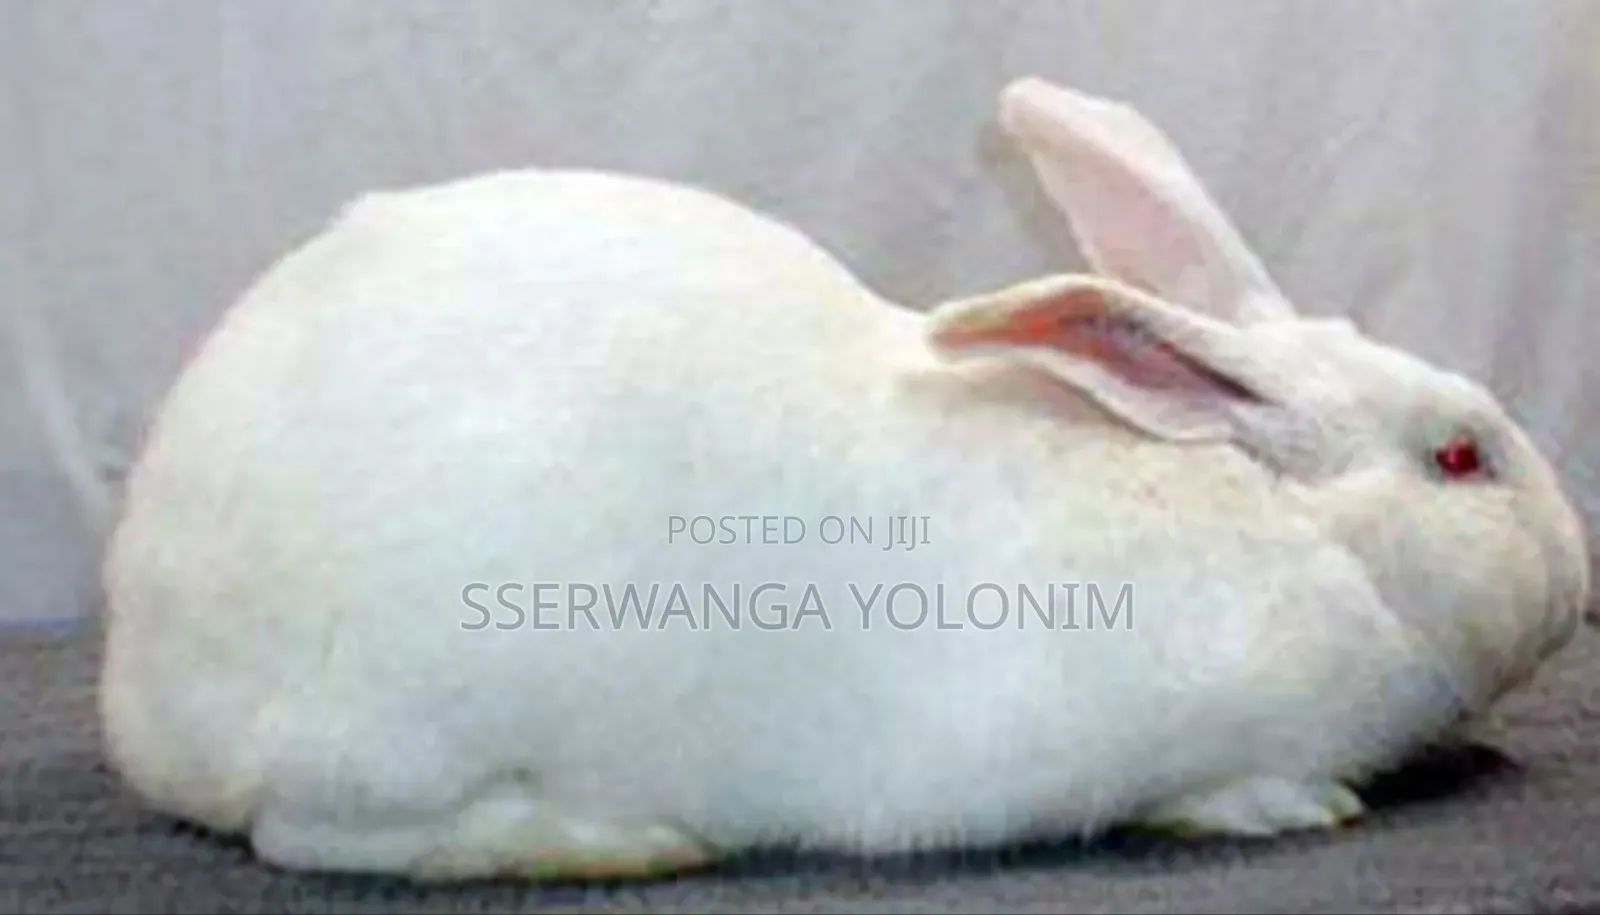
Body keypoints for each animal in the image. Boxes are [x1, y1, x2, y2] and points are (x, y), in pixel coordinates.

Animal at [96, 75, 1590, 884]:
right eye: (1461, 458)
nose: (1581, 578)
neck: (1286, 525)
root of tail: (140, 686)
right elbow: (1218, 784)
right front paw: (1288, 804)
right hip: (407, 730)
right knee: (317, 839)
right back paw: (609, 840)